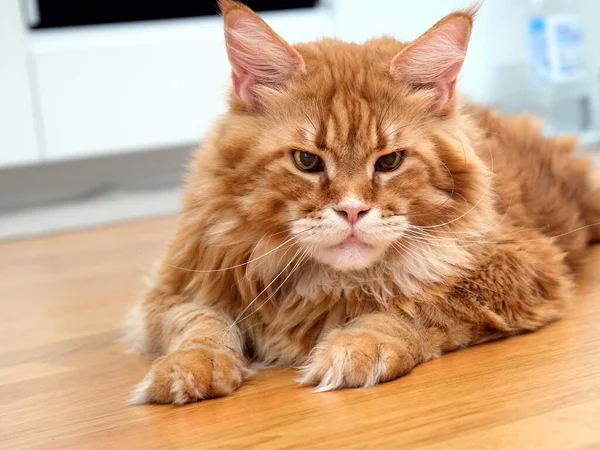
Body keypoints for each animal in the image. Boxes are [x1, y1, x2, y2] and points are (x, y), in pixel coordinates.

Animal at [123, 0, 600, 404]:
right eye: (307, 161)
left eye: (389, 161)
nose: (352, 210)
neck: (320, 283)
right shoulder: (177, 289)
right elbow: (201, 324)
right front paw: (190, 366)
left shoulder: (520, 266)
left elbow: (417, 306)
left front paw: (359, 344)